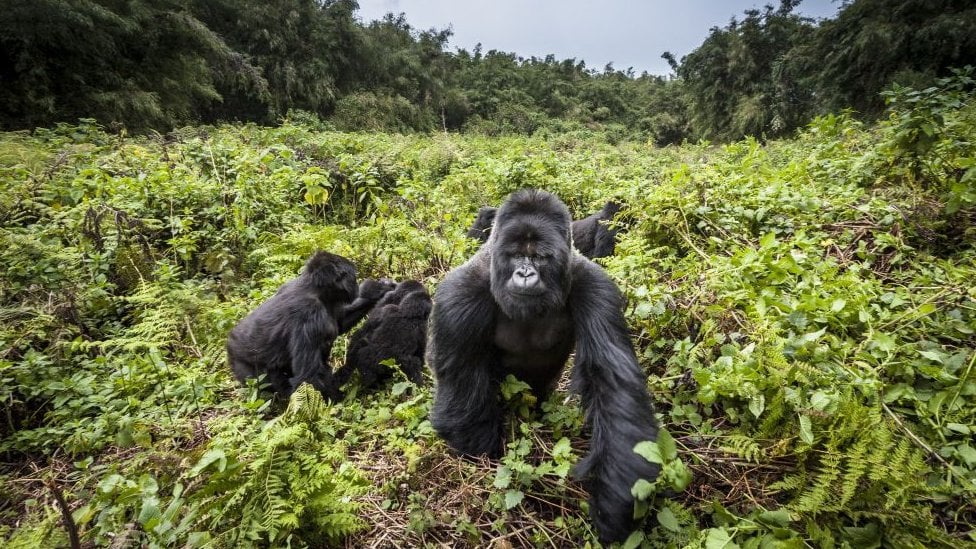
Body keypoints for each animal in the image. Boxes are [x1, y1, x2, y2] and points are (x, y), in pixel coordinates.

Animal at [227, 252, 394, 398]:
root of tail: (229, 341)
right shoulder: (310, 315)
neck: (314, 289)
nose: (357, 286)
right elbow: (307, 376)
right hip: (243, 366)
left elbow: (340, 323)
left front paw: (379, 291)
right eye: (353, 277)